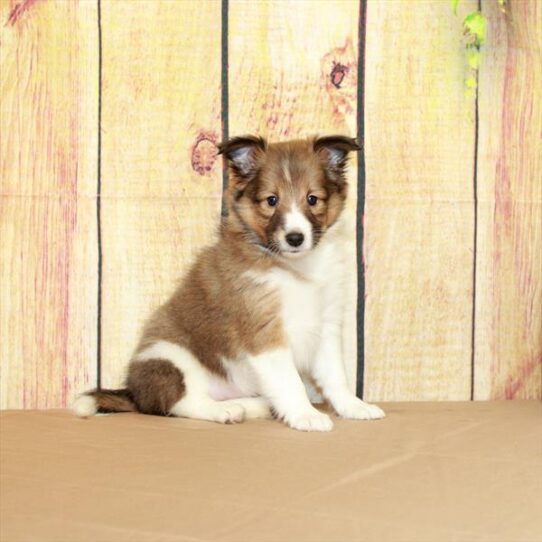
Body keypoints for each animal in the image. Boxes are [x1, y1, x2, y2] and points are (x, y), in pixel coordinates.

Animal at [73, 136, 386, 434]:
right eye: (271, 200)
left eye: (312, 199)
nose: (295, 238)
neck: (293, 268)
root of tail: (133, 392)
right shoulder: (264, 332)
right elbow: (290, 381)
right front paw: (305, 414)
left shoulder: (325, 325)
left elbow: (336, 376)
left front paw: (354, 407)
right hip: (169, 357)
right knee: (178, 402)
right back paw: (223, 411)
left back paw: (253, 406)